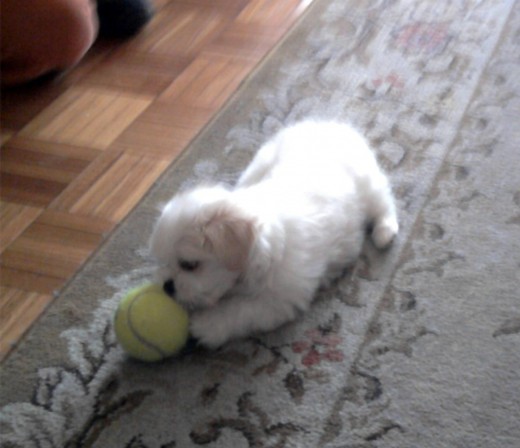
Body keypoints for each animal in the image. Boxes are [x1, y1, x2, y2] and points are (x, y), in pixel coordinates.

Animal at [150, 121, 398, 348]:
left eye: (189, 265)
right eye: (164, 262)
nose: (167, 286)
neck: (264, 246)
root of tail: (331, 124)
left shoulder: (279, 299)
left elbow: (240, 309)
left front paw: (205, 325)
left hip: (368, 184)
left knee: (384, 202)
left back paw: (385, 232)